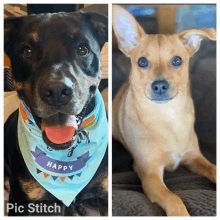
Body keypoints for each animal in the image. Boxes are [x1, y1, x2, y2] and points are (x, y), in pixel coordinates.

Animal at [112, 5, 216, 217]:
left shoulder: (194, 158)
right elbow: (172, 198)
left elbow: (214, 169)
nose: (159, 86)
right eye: (142, 62)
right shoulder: (149, 174)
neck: (167, 116)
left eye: (177, 60)